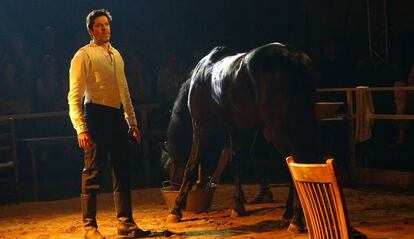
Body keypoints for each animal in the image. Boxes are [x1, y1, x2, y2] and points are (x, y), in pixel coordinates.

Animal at [164, 42, 316, 231]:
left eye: (169, 168)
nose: (172, 187)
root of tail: (293, 56)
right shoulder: (236, 130)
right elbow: (236, 163)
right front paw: (237, 206)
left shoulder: (201, 128)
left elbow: (191, 165)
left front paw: (176, 210)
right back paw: (289, 215)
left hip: (279, 131)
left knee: (296, 163)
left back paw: (296, 220)